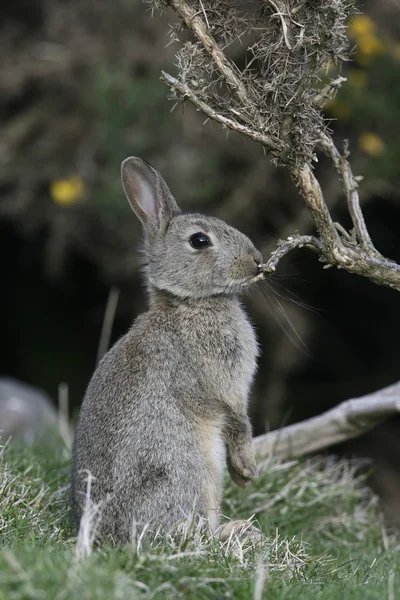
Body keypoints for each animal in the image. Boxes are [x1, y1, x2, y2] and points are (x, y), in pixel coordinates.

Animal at [71, 156, 266, 544]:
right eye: (200, 240)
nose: (256, 260)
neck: (187, 303)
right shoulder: (224, 387)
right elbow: (238, 422)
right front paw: (247, 471)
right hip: (188, 471)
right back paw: (234, 531)